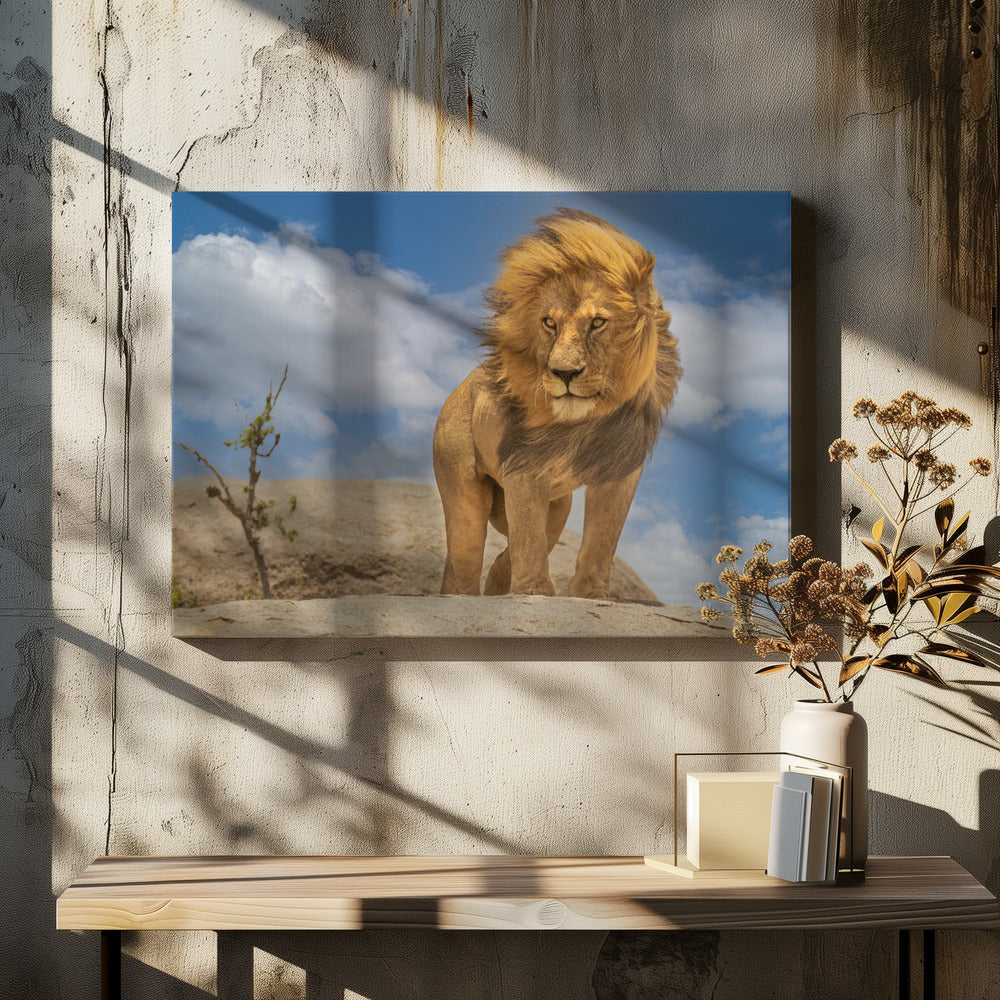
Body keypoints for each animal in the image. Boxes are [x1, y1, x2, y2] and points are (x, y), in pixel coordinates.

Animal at [433, 207, 680, 599]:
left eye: (598, 322)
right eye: (549, 322)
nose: (564, 372)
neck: (587, 421)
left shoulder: (620, 470)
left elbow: (601, 537)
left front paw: (590, 594)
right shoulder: (525, 466)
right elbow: (528, 535)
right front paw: (533, 592)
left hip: (559, 502)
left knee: (526, 542)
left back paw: (499, 581)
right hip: (463, 493)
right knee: (466, 558)